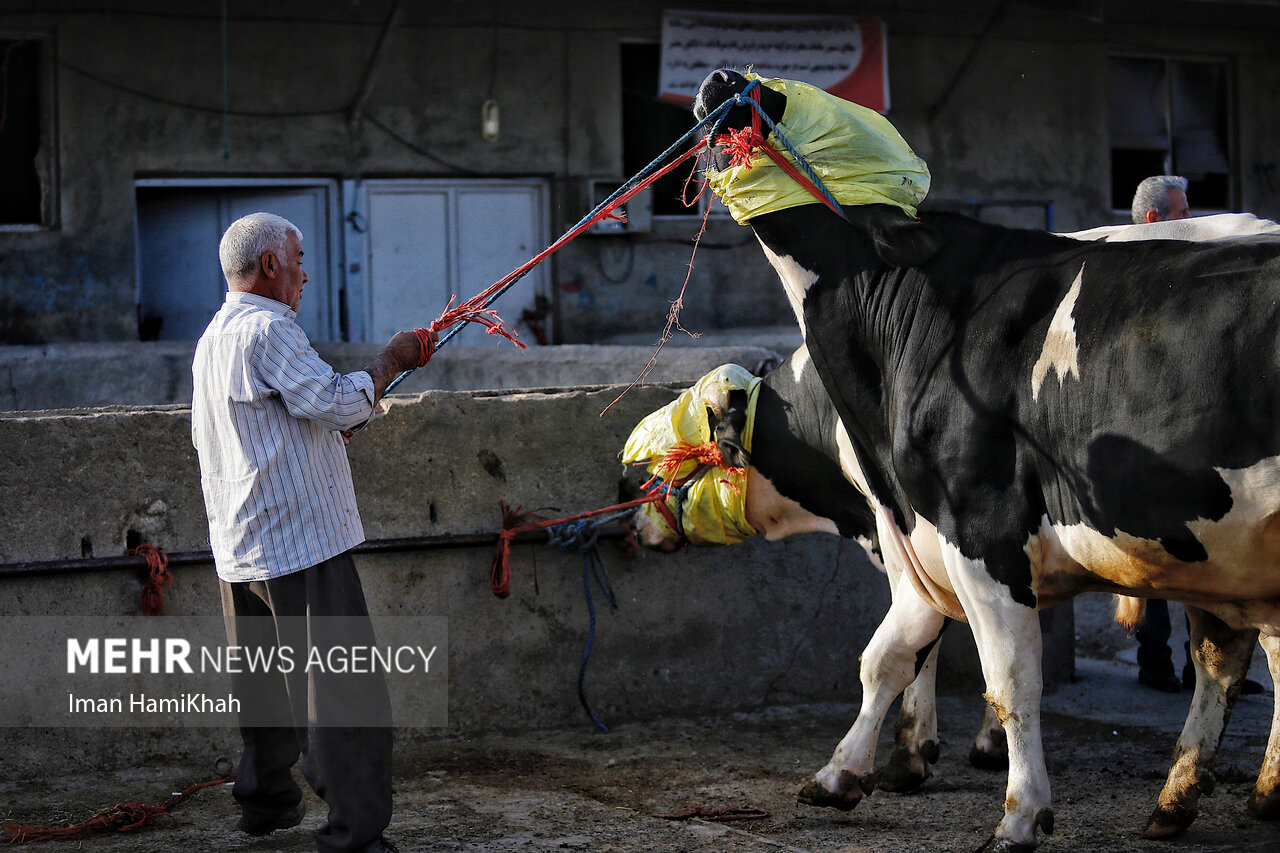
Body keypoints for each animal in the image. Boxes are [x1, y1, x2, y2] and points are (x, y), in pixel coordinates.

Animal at [696, 69, 1280, 845]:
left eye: (779, 102)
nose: (720, 78)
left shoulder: (975, 525)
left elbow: (999, 675)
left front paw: (1014, 809)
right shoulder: (926, 535)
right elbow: (896, 652)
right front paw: (852, 770)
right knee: (1234, 655)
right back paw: (1197, 797)